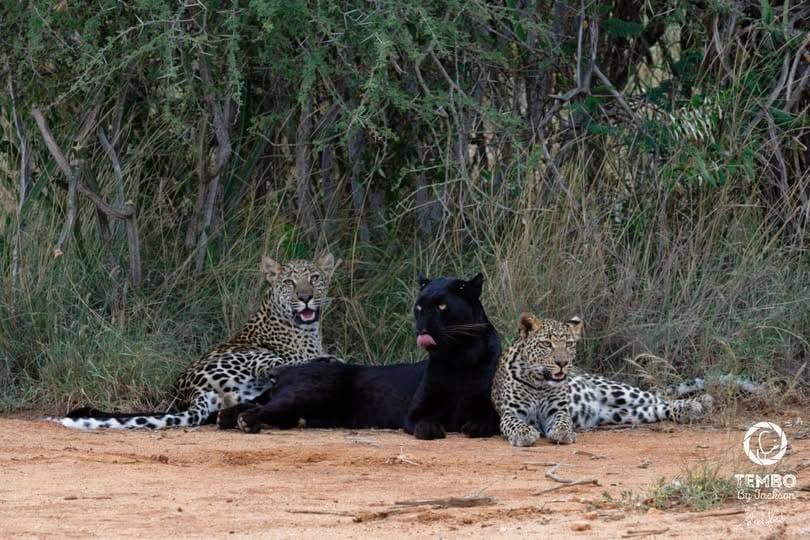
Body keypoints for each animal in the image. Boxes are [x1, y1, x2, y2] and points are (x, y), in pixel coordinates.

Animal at [48, 253, 340, 430]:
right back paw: (327, 359)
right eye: (289, 282)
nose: (305, 297)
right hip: (255, 356)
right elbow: (302, 359)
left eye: (315, 278)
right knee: (278, 368)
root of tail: (193, 392)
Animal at [491, 312, 713, 446]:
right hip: (623, 414)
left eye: (569, 344)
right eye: (546, 344)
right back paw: (693, 407)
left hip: (618, 391)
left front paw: (563, 433)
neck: (539, 382)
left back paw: (699, 402)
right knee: (656, 407)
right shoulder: (510, 412)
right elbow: (513, 423)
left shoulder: (558, 410)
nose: (562, 363)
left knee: (660, 398)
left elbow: (563, 421)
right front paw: (524, 434)